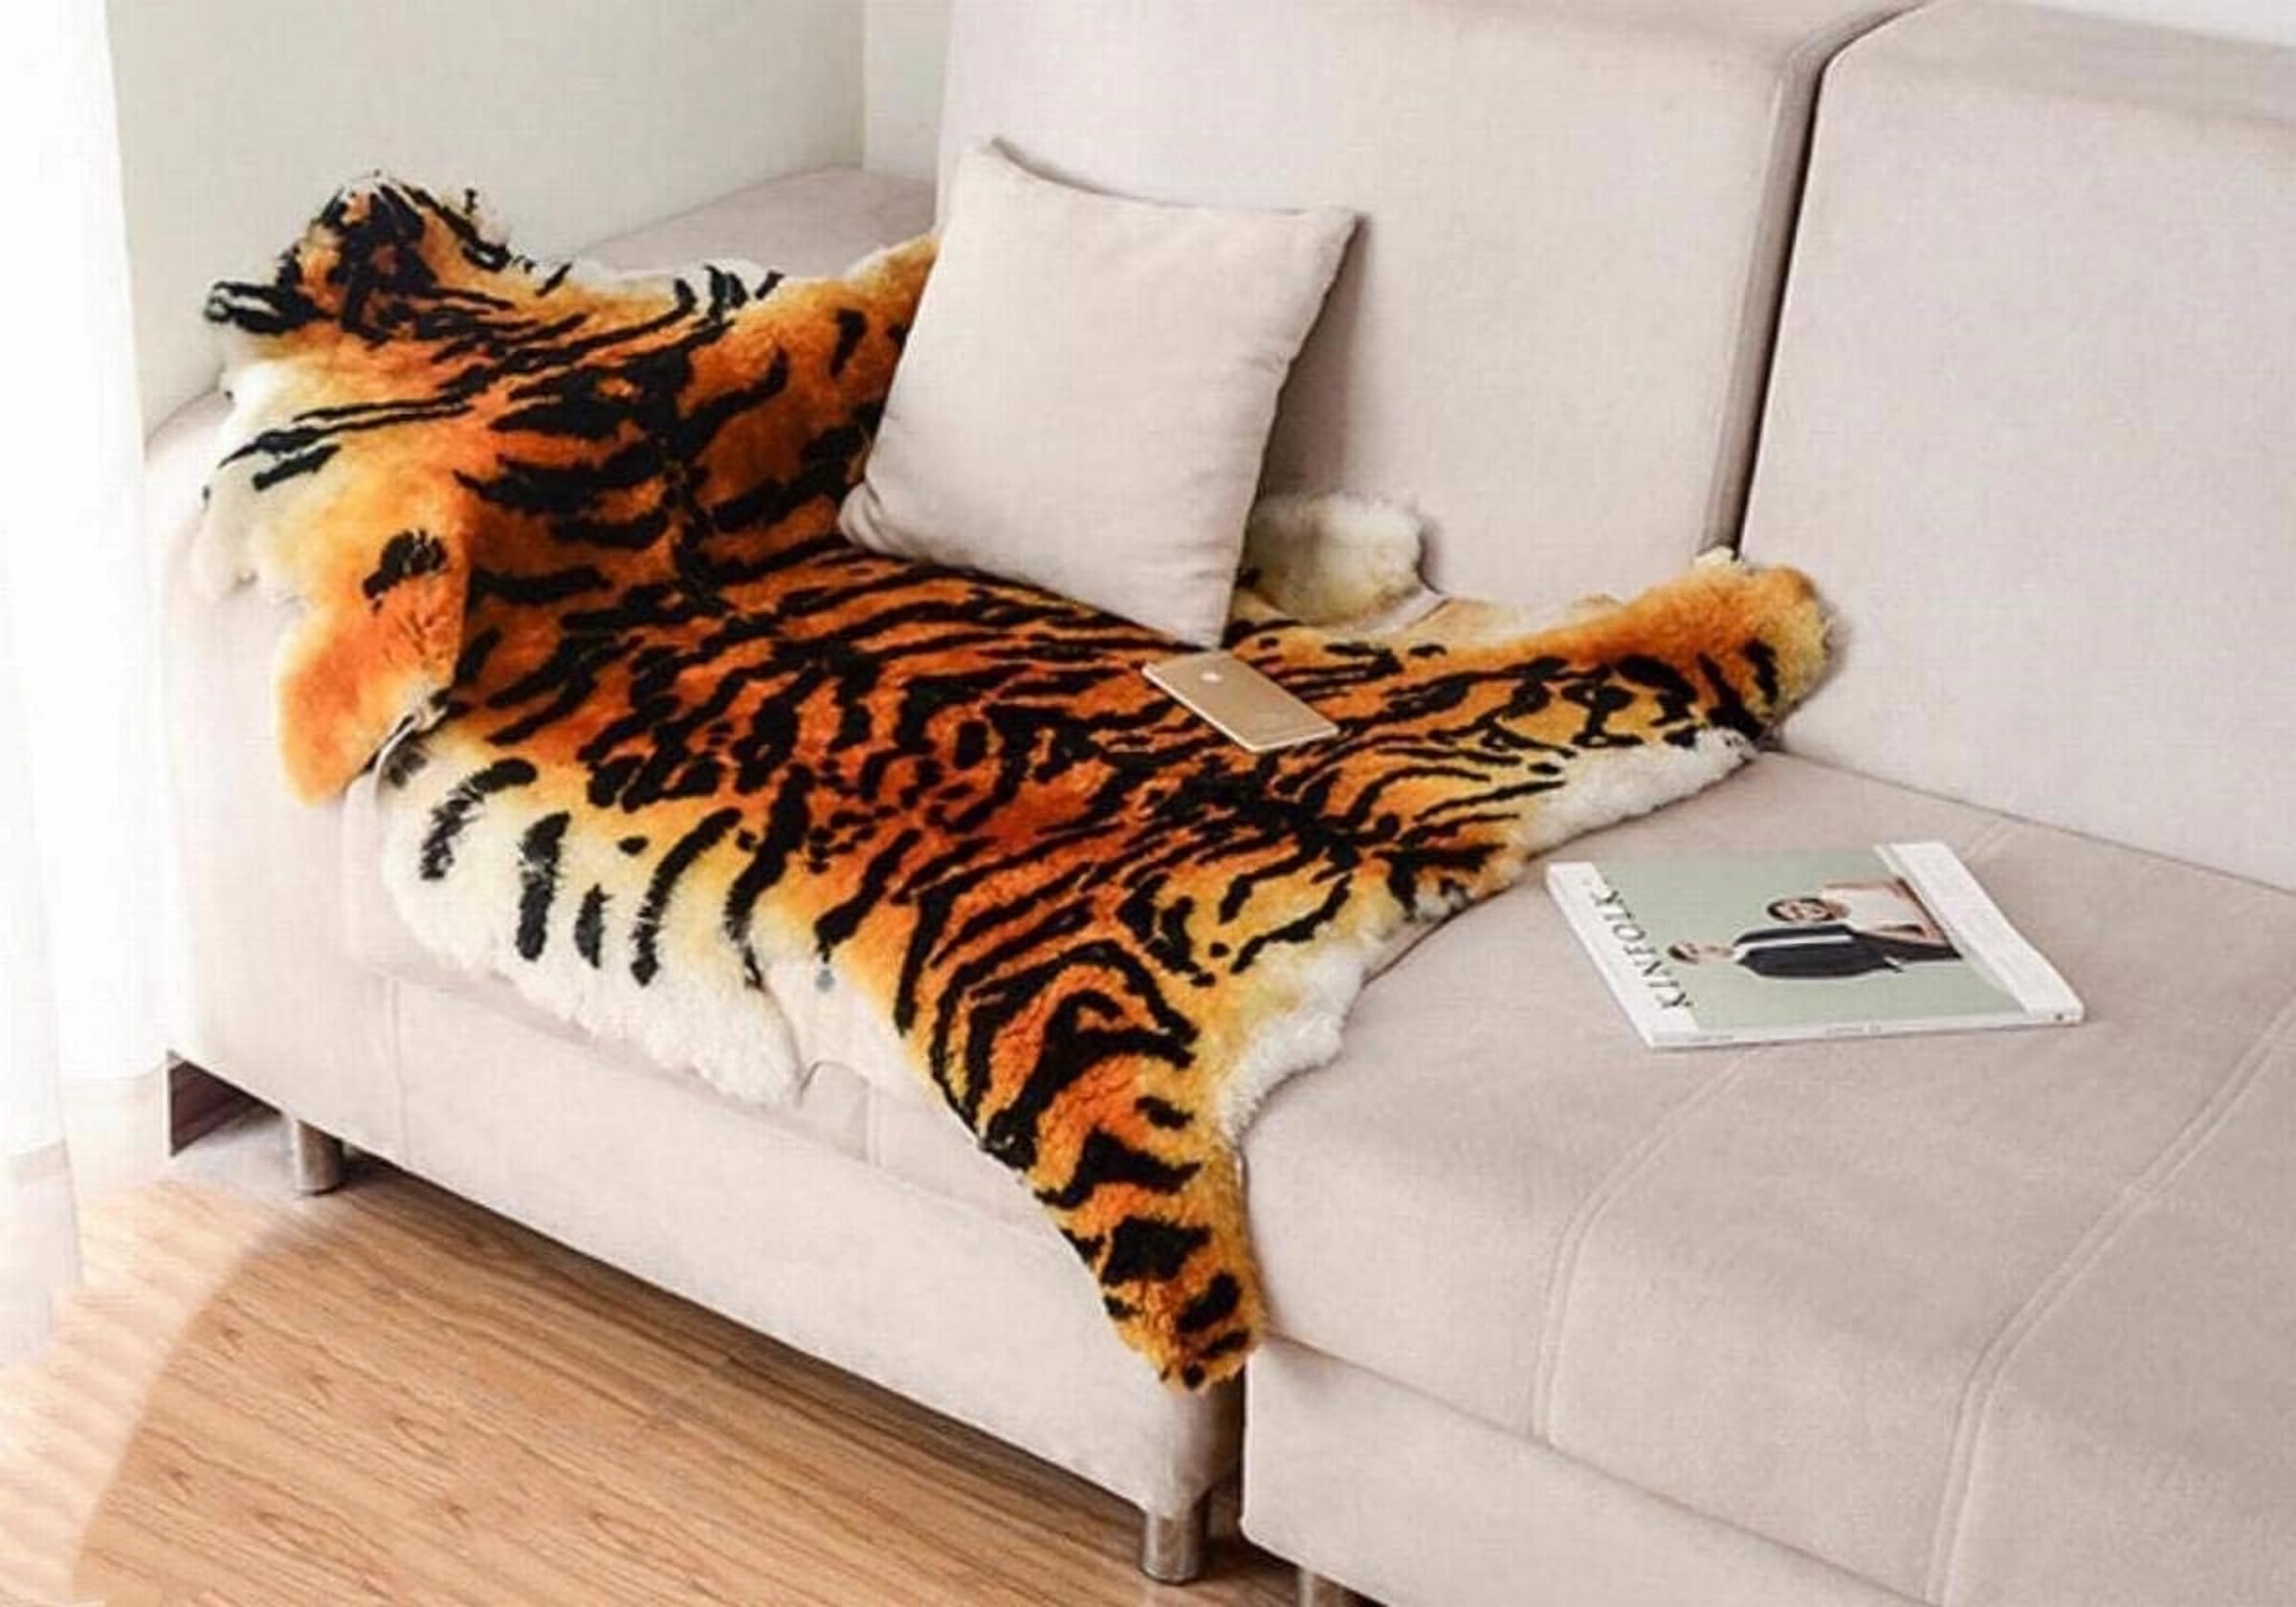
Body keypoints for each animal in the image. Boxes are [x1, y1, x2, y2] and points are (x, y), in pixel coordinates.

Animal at [196, 178, 1829, 1389]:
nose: (375, 196)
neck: (461, 330)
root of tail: (1387, 854)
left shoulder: (699, 362)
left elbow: (852, 298)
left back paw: (1772, 600)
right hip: (1167, 952)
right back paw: (1771, 611)